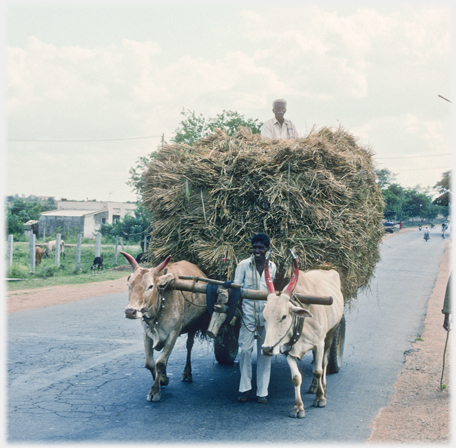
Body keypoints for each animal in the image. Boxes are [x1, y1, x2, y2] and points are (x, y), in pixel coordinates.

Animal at [119, 252, 208, 402]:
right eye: (129, 284)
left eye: (150, 286)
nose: (130, 312)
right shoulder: (147, 334)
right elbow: (150, 363)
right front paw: (162, 379)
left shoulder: (173, 333)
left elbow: (160, 362)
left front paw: (156, 389)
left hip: (193, 326)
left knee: (189, 346)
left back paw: (187, 373)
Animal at [260, 252, 342, 420]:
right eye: (264, 317)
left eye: (284, 316)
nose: (266, 349)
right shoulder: (287, 350)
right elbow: (296, 378)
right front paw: (298, 407)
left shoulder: (319, 344)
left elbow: (318, 370)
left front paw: (320, 398)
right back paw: (313, 387)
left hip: (332, 333)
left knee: (324, 364)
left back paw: (323, 388)